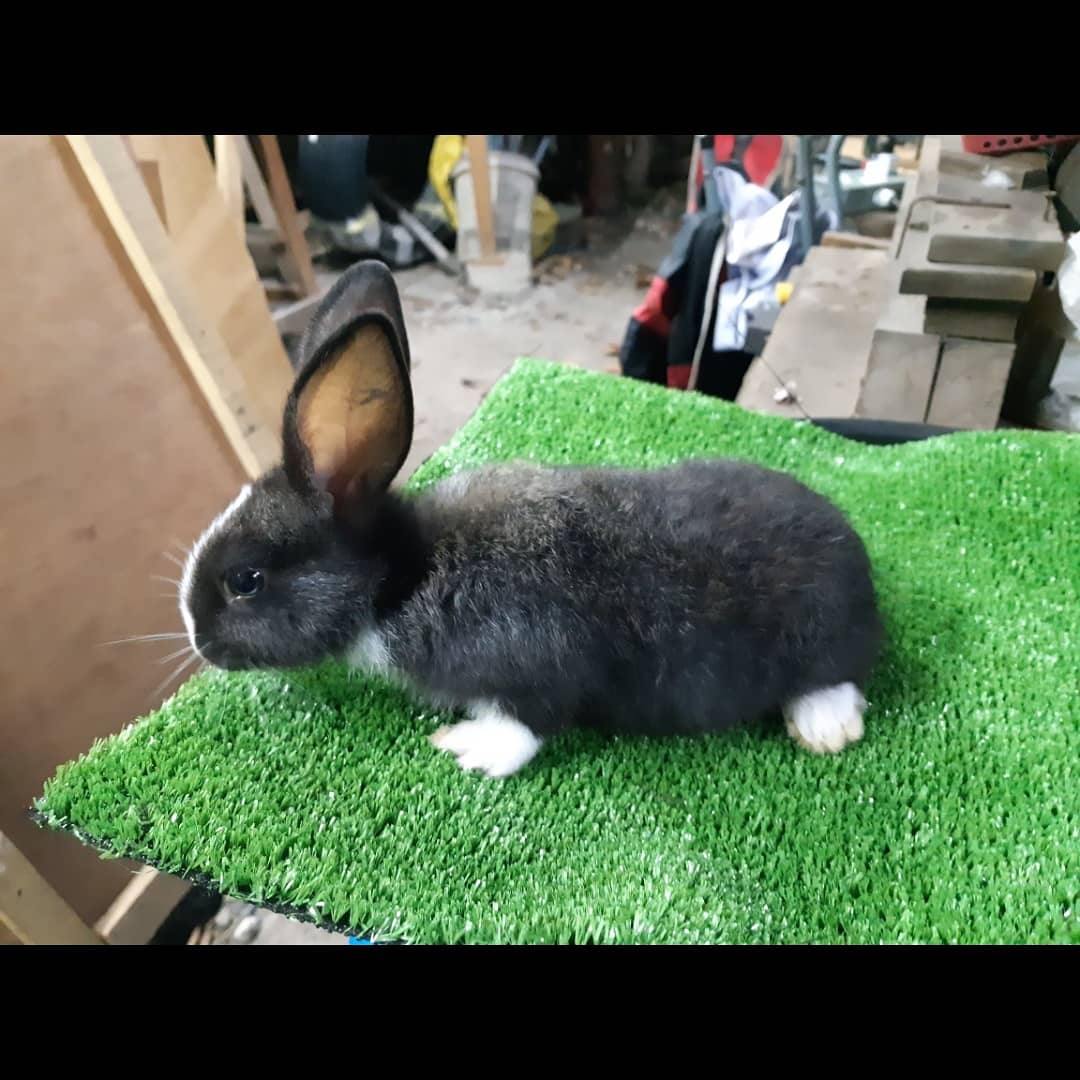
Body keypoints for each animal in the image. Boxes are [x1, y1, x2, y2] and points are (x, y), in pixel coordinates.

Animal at [179, 260, 882, 778]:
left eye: (244, 580)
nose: (200, 642)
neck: (400, 580)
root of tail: (860, 564)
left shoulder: (535, 660)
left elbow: (528, 724)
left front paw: (468, 748)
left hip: (822, 639)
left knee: (841, 677)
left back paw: (824, 726)